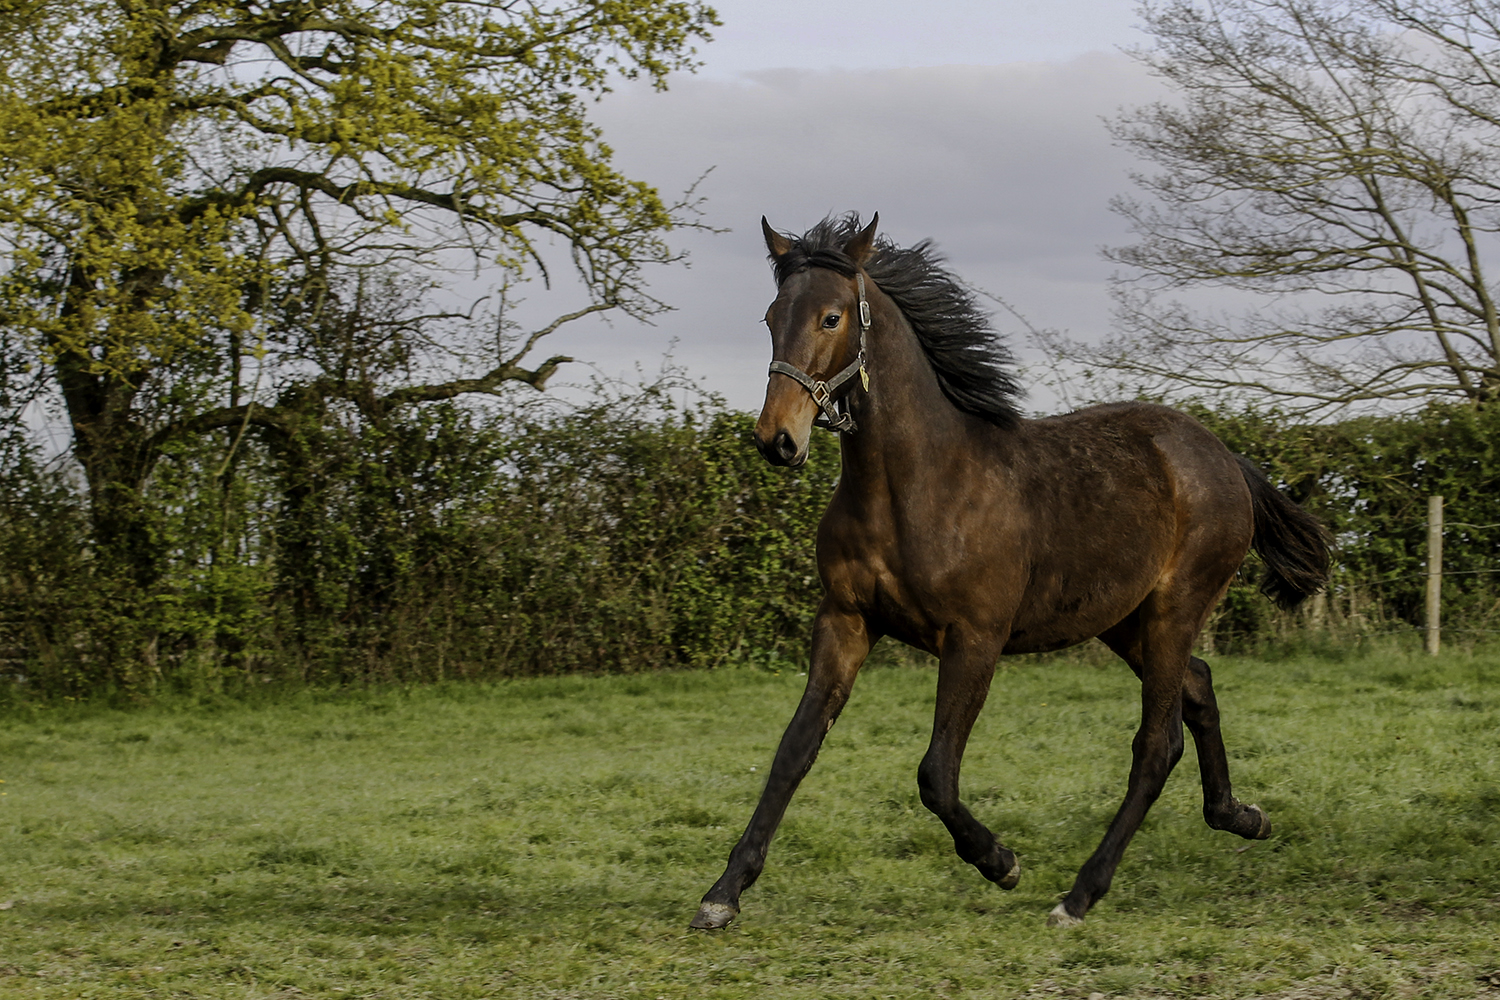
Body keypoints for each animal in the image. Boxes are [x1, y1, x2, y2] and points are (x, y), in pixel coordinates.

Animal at [689, 213, 1330, 930]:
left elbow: (936, 774)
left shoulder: (974, 637)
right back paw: (1240, 816)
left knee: (1157, 744)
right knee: (1197, 687)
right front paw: (723, 893)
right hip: (1122, 620)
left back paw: (1079, 896)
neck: (914, 486)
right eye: (771, 316)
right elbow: (794, 751)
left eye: (831, 317)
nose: (777, 440)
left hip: (1176, 608)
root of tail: (1225, 458)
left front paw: (1001, 862)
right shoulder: (846, 621)